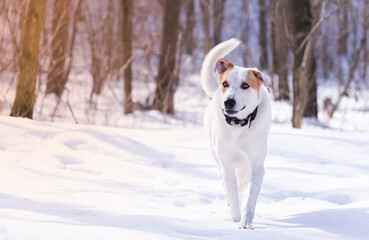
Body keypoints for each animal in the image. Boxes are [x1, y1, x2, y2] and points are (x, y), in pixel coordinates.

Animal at [200, 38, 272, 229]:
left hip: (246, 168)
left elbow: (250, 199)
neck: (238, 126)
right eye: (225, 84)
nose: (228, 102)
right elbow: (232, 196)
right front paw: (236, 217)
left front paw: (245, 222)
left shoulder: (256, 168)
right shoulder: (226, 166)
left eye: (245, 85)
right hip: (217, 159)